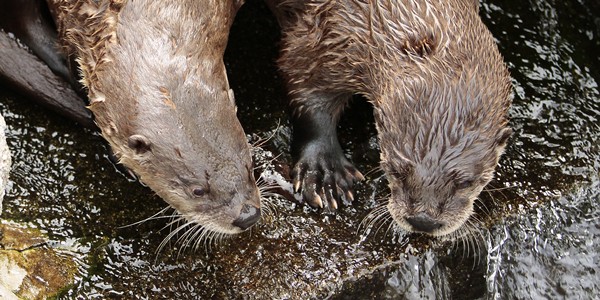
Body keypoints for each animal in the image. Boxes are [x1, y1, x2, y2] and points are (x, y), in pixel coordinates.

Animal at [268, 0, 510, 237]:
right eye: (396, 171)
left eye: (466, 182)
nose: (423, 220)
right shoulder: (328, 34)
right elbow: (301, 78)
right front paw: (324, 172)